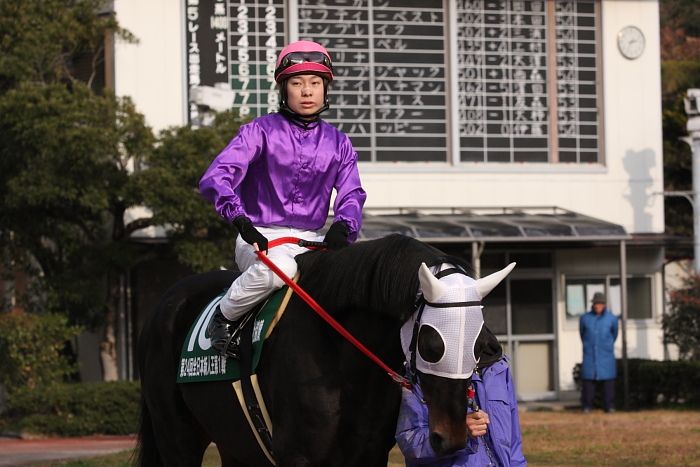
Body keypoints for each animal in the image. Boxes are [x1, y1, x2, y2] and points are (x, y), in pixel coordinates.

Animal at [137, 236, 498, 466]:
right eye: (431, 343)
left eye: (478, 345)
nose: (452, 437)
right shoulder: (298, 455)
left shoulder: (369, 454)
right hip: (176, 437)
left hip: (232, 440)